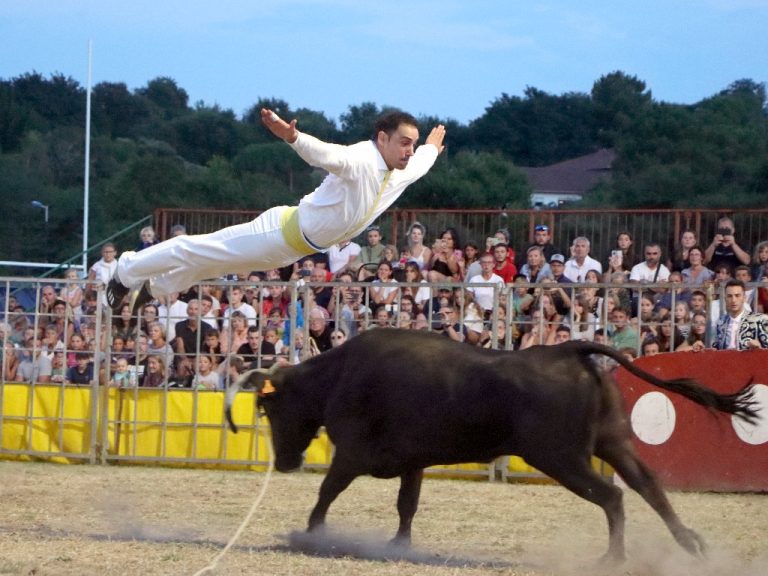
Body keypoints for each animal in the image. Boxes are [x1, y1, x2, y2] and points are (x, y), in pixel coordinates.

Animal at [224, 329, 758, 561]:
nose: (285, 461)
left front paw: (311, 534)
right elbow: (406, 504)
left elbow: (327, 492)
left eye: (268, 408)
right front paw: (400, 545)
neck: (338, 376)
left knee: (612, 496)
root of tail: (569, 350)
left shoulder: (352, 455)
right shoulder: (413, 461)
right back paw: (690, 544)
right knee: (648, 485)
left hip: (561, 457)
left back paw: (614, 559)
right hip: (614, 443)